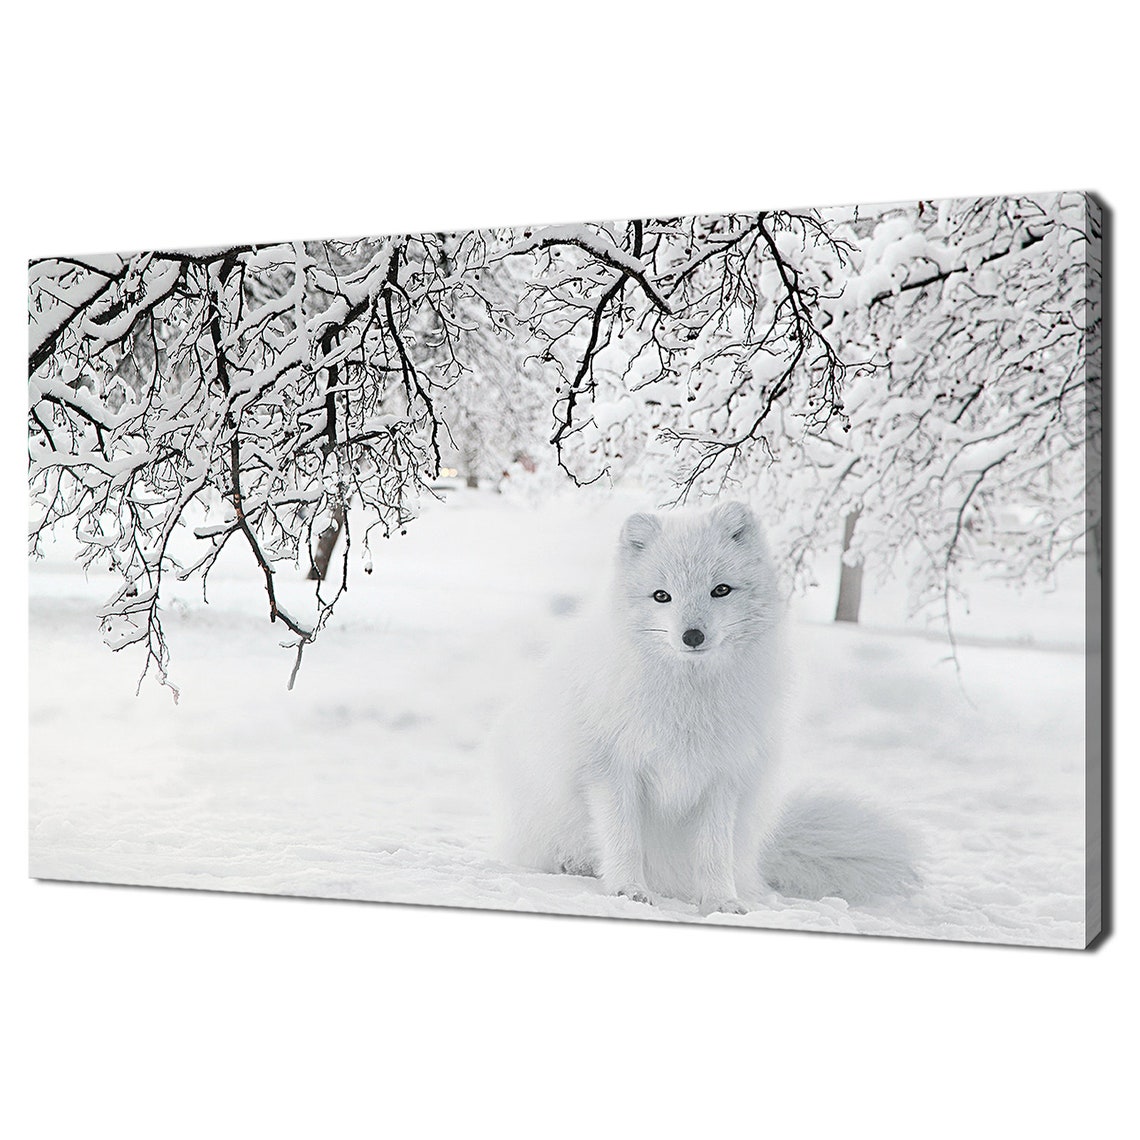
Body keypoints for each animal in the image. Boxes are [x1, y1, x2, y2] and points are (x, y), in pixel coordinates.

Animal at [496, 500, 919, 915]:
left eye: (721, 589)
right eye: (661, 595)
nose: (693, 636)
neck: (689, 701)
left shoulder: (722, 778)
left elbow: (714, 852)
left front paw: (720, 902)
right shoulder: (611, 769)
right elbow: (623, 839)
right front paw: (629, 891)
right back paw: (575, 864)